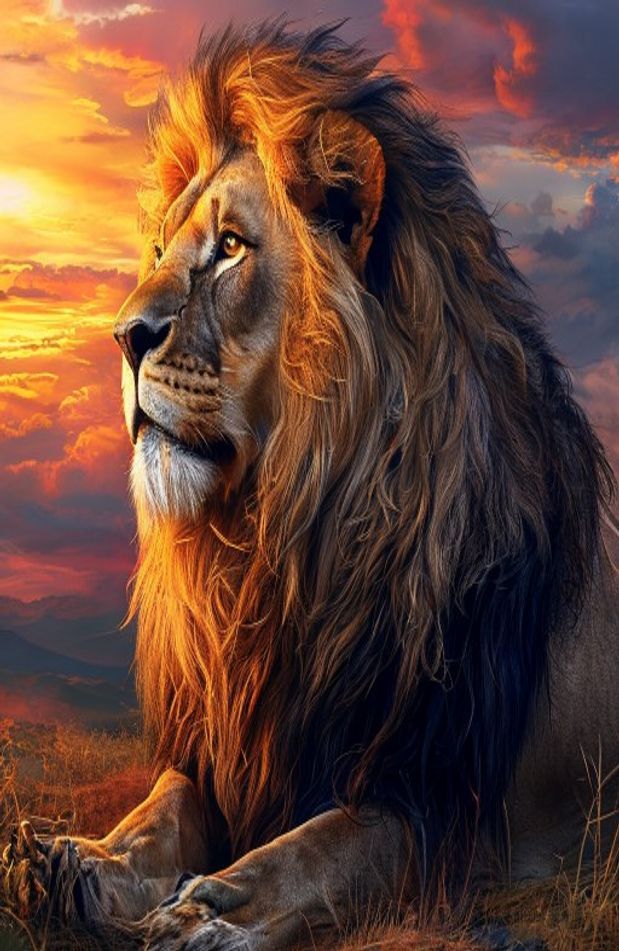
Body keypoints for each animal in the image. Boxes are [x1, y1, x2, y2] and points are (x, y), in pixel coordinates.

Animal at [4, 19, 618, 951]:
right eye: (160, 250)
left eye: (230, 247)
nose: (122, 335)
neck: (279, 542)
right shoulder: (230, 744)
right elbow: (163, 806)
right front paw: (72, 860)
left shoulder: (443, 806)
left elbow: (320, 849)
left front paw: (208, 908)